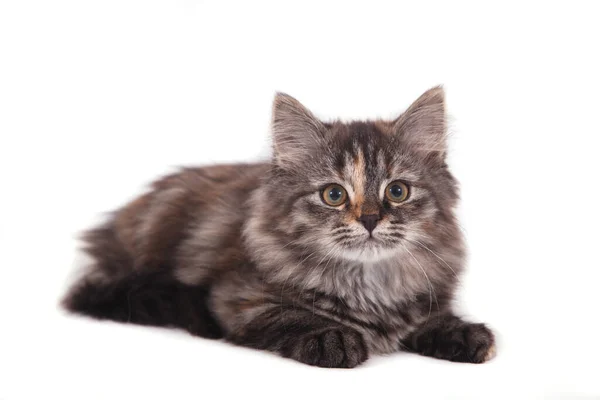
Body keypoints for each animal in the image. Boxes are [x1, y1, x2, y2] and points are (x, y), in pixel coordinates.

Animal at [62, 87, 496, 368]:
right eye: (334, 195)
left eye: (398, 191)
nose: (370, 219)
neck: (368, 282)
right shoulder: (238, 297)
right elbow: (292, 315)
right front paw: (333, 337)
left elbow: (432, 317)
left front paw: (462, 333)